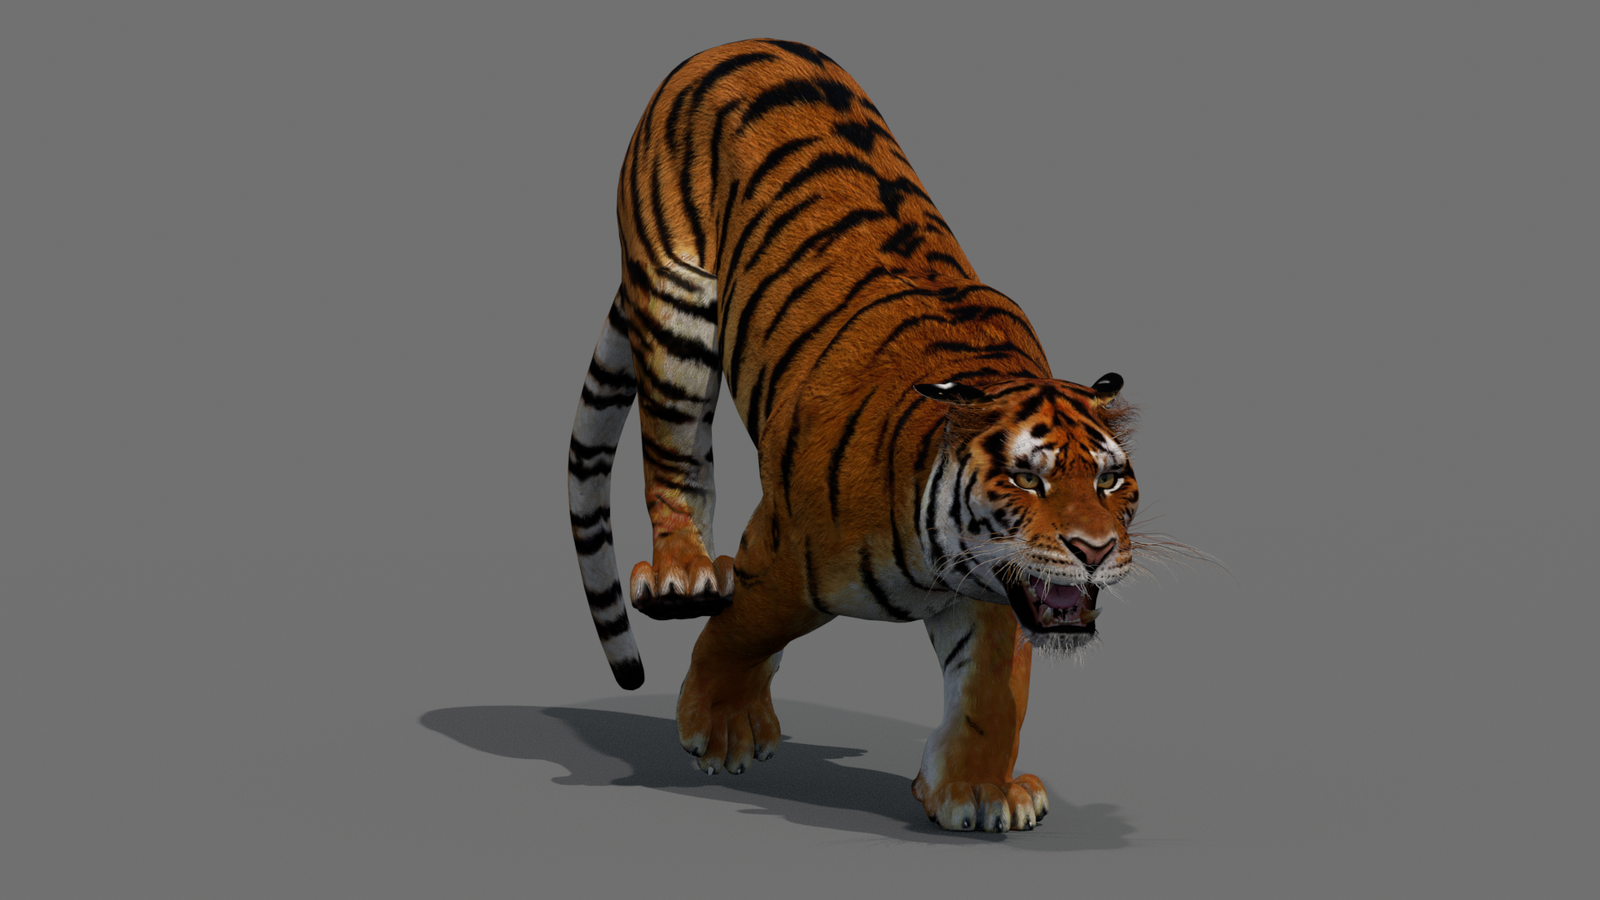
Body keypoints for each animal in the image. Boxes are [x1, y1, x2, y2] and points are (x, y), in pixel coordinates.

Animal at [567, 38, 1140, 833]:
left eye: (1111, 480)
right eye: (1029, 477)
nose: (1096, 552)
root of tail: (734, 42)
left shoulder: (1000, 590)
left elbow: (993, 693)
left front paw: (979, 791)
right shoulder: (783, 555)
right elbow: (741, 629)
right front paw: (719, 725)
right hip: (676, 312)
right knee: (673, 458)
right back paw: (685, 572)